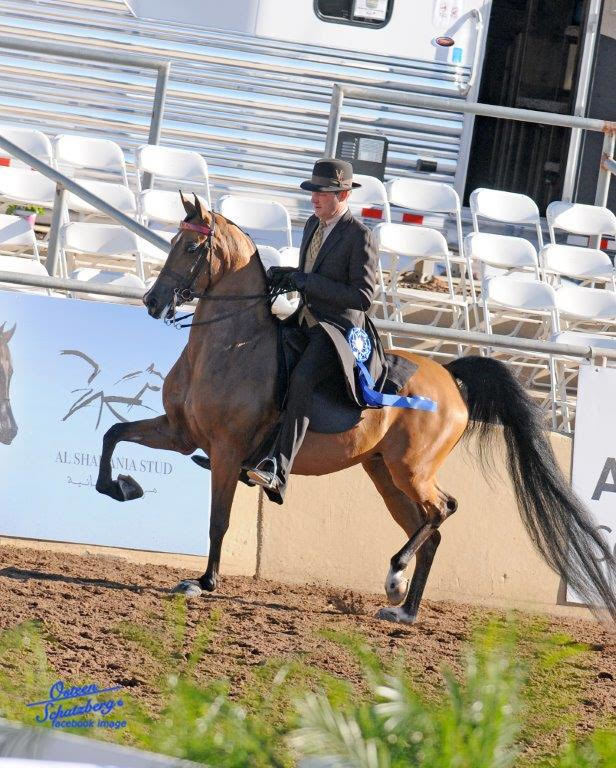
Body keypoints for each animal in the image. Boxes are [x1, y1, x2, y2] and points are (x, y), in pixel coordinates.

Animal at [95, 193, 616, 623]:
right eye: (172, 241)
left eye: (189, 248)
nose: (152, 301)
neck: (227, 347)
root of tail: (451, 377)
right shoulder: (180, 434)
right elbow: (112, 435)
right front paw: (121, 487)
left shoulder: (225, 451)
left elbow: (217, 520)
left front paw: (203, 583)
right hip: (385, 474)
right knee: (429, 526)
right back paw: (404, 608)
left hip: (412, 470)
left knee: (444, 508)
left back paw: (396, 576)